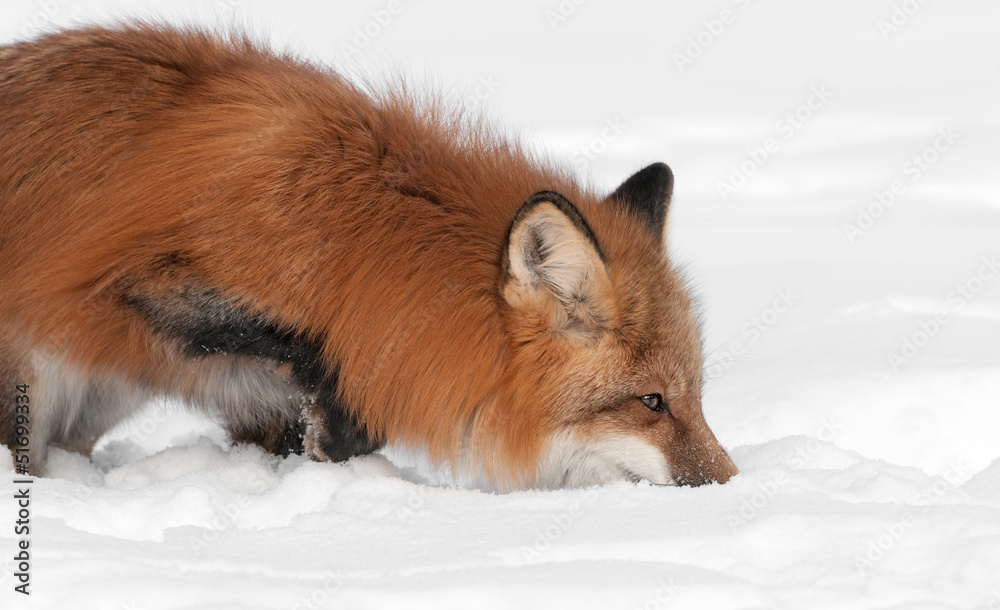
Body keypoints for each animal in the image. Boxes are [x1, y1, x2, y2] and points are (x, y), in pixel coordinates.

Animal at [0, 24, 737, 489]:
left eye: (695, 397)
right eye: (651, 402)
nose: (732, 486)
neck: (350, 232)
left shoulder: (244, 391)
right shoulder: (145, 283)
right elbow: (311, 353)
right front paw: (340, 432)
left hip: (97, 401)